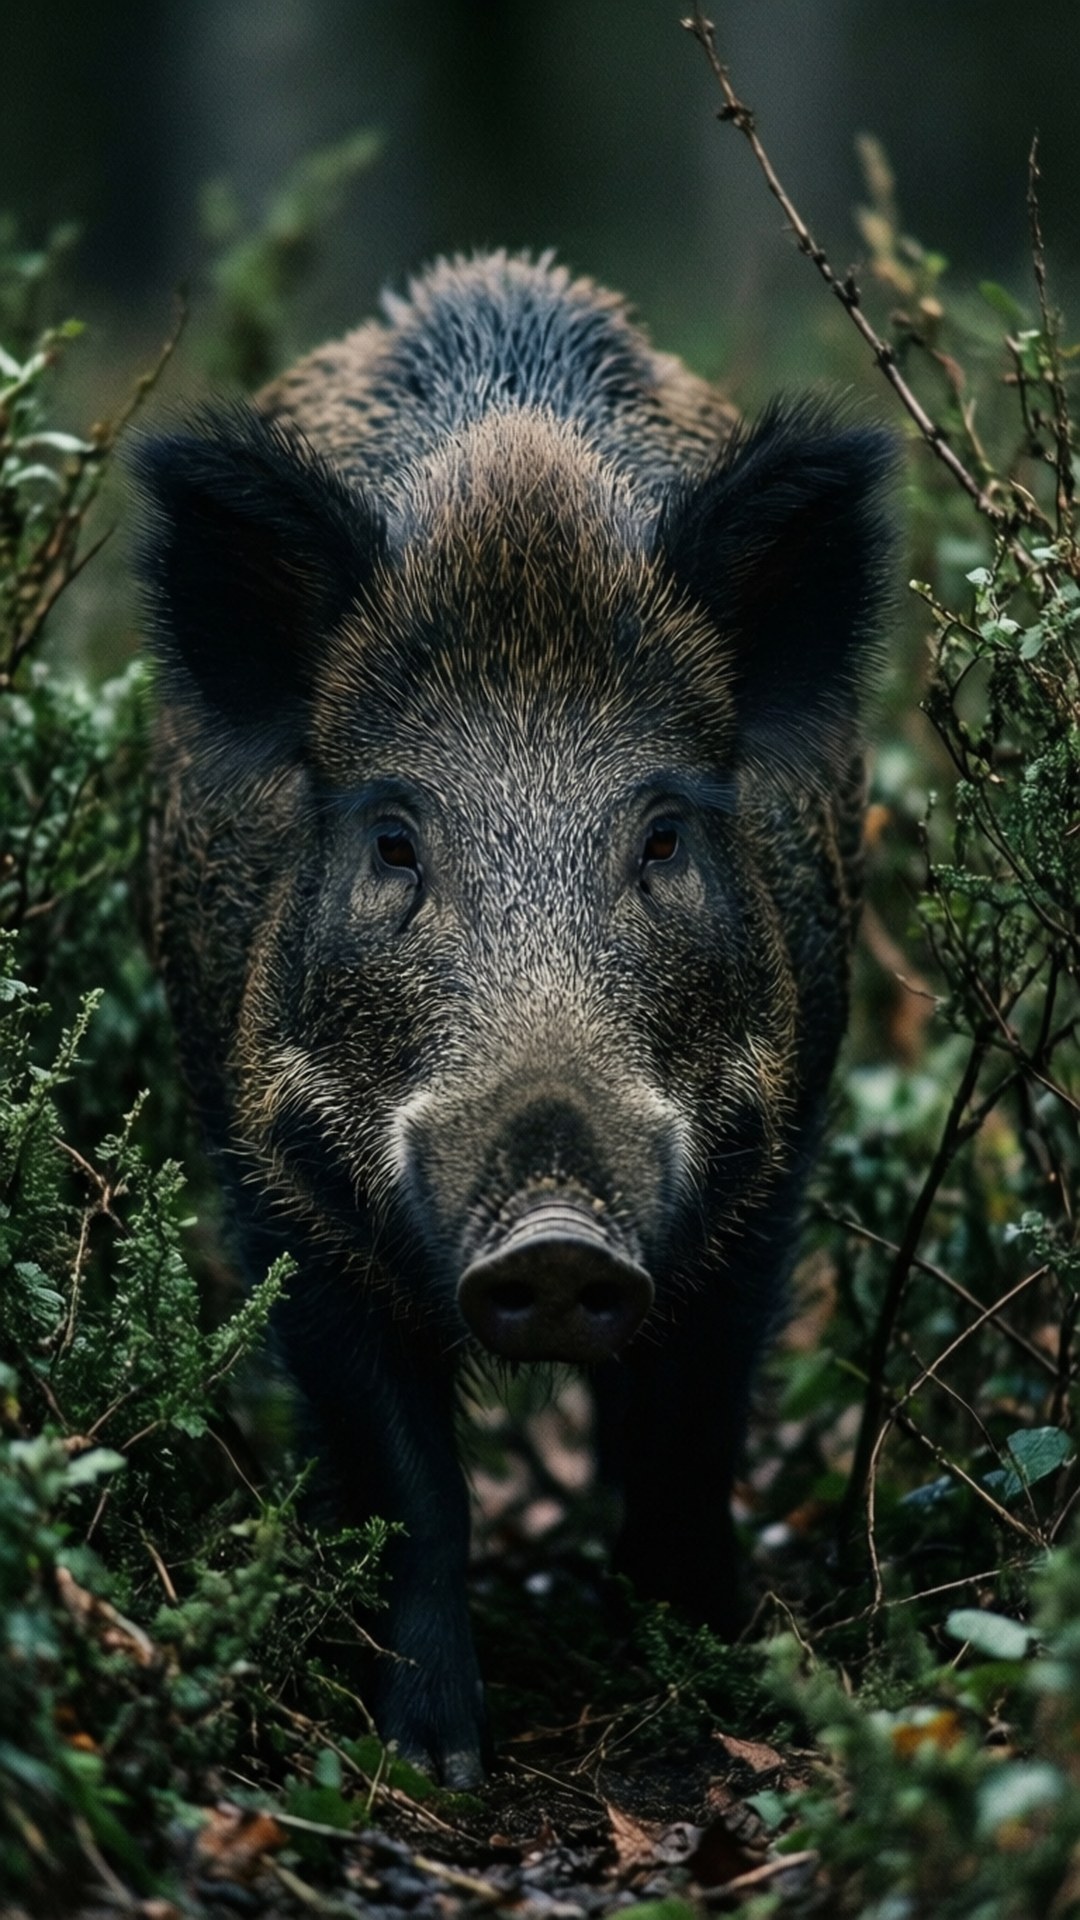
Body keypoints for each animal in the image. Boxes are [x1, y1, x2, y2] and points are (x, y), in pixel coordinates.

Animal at [134, 251, 894, 1787]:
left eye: (662, 835)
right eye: (393, 841)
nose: (553, 1239)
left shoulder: (766, 1173)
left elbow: (687, 1444)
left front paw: (714, 1685)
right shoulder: (278, 1187)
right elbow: (408, 1485)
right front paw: (428, 1765)